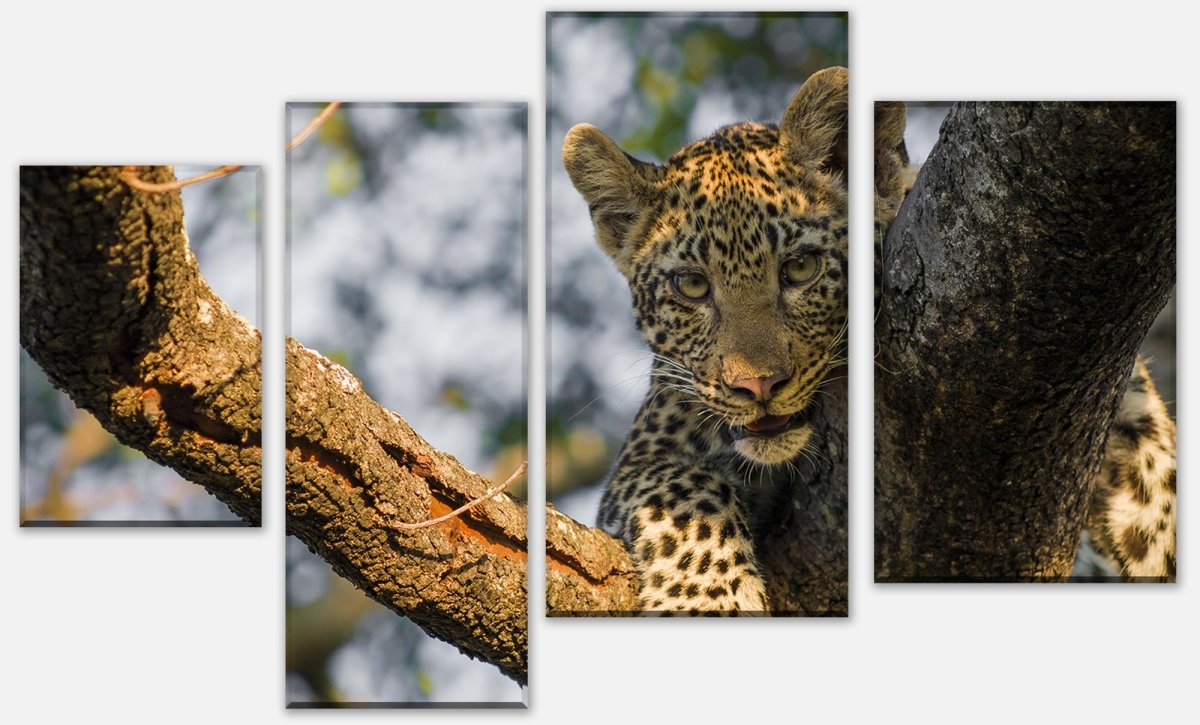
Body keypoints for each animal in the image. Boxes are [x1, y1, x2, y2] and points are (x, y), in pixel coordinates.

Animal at [562, 67, 850, 613]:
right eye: (692, 285)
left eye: (801, 268)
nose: (759, 387)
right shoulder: (638, 460)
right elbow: (686, 486)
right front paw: (708, 601)